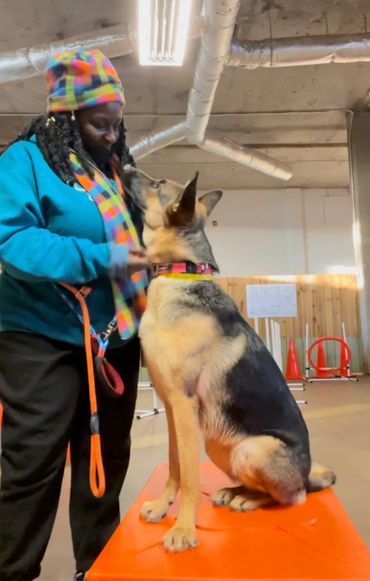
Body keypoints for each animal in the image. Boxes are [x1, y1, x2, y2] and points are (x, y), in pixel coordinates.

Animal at [123, 167, 336, 552]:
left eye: (158, 184)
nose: (127, 166)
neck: (179, 272)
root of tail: (306, 474)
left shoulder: (184, 406)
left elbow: (190, 477)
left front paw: (184, 529)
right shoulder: (172, 408)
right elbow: (175, 466)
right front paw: (163, 507)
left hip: (252, 449)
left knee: (292, 497)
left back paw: (249, 499)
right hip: (218, 444)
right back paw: (235, 491)